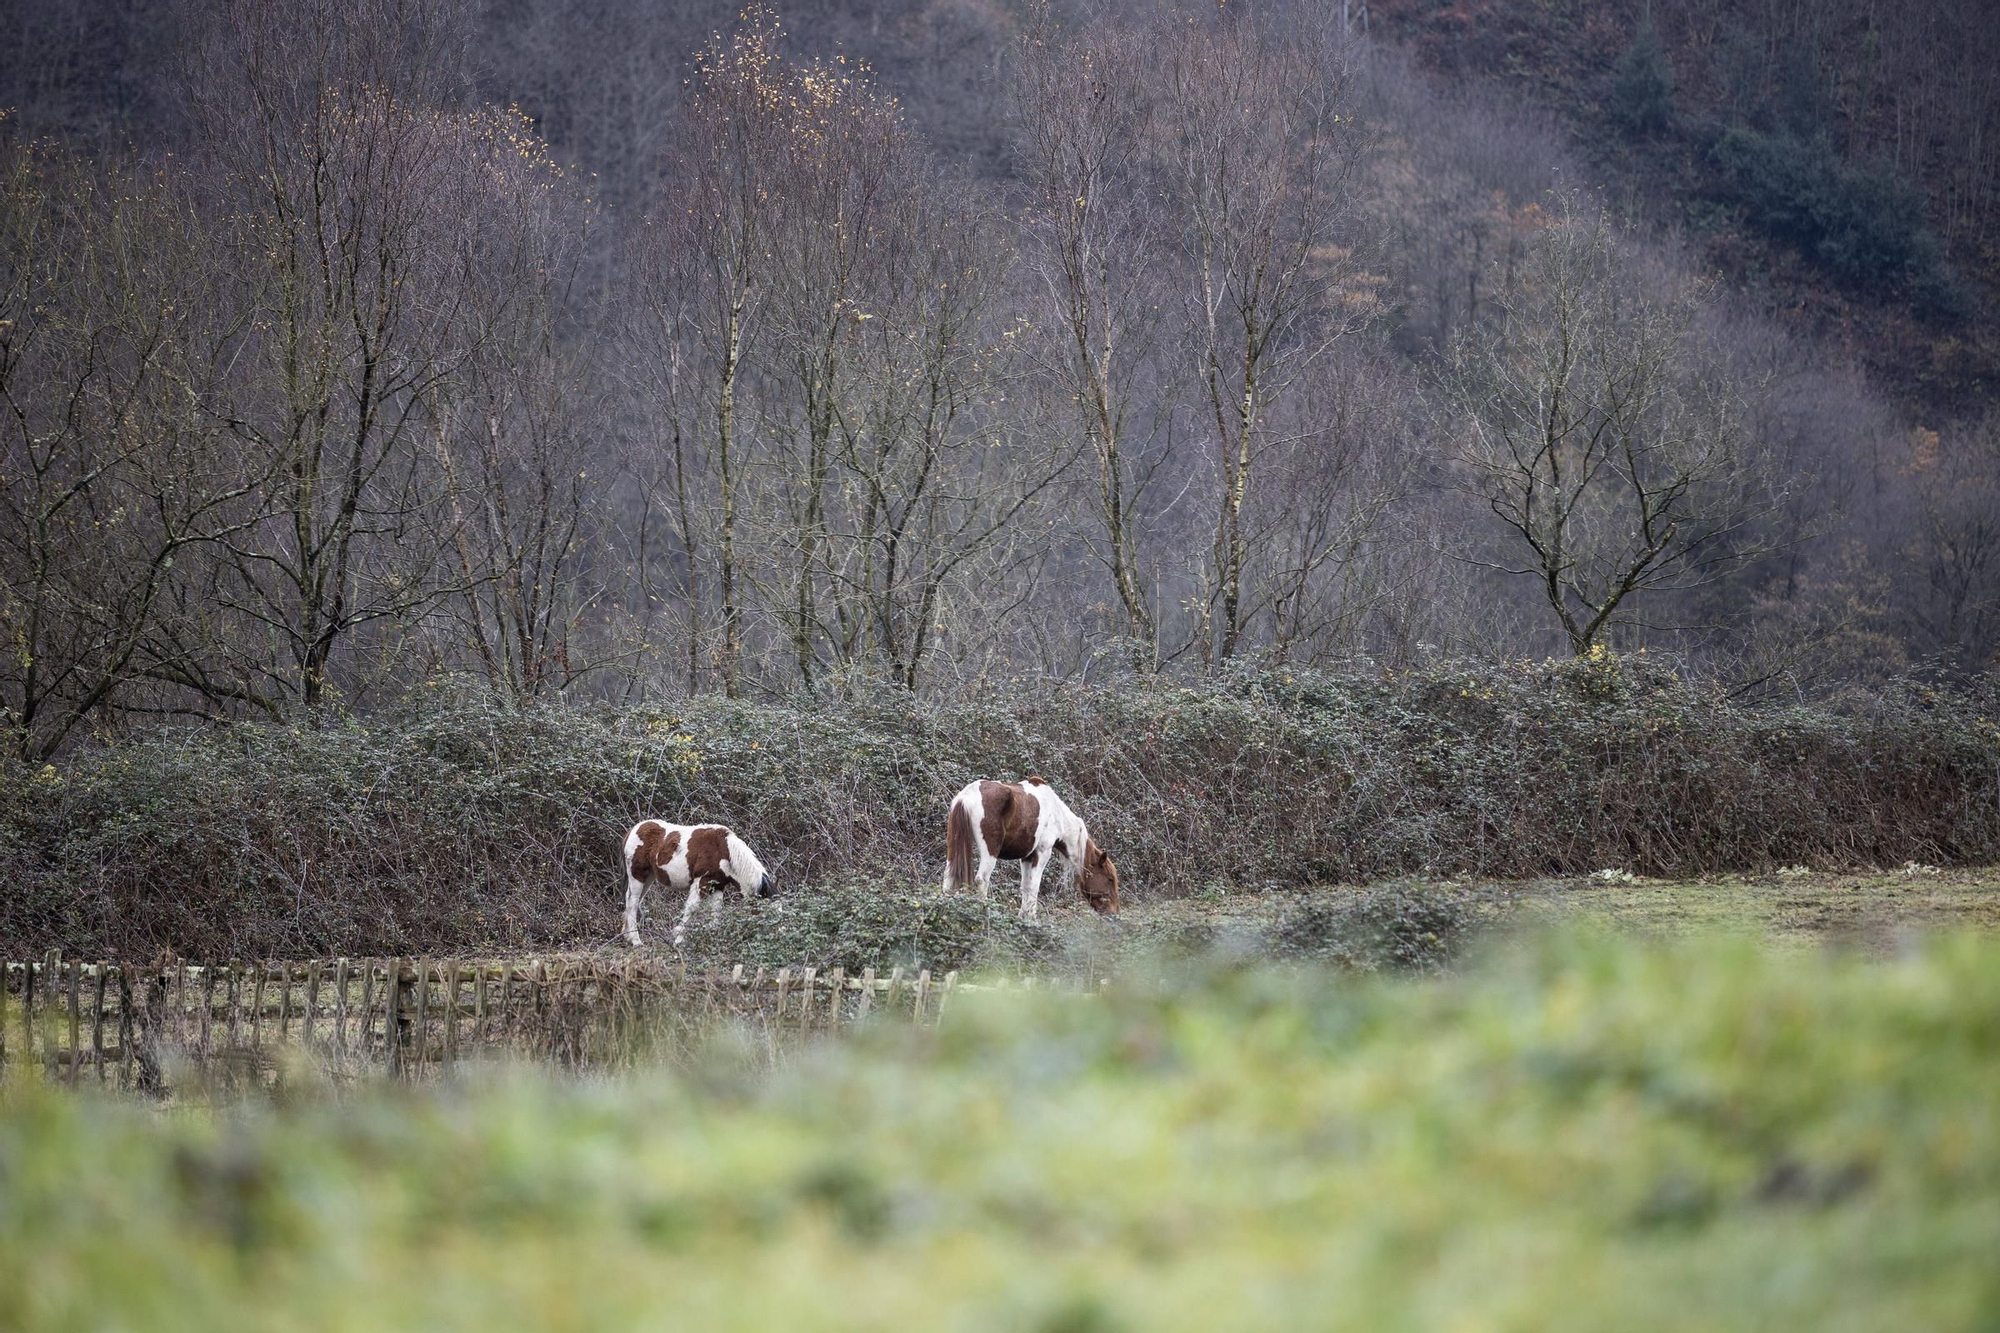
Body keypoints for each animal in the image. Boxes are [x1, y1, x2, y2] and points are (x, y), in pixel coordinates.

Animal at [620, 808, 776, 944]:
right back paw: (636, 941)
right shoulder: (701, 881)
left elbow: (716, 913)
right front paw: (678, 939)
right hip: (637, 874)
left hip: (649, 877)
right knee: (632, 902)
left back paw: (627, 935)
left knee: (633, 901)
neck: (725, 851)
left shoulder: (718, 885)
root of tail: (632, 831)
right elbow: (692, 908)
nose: (774, 938)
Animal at [940, 772, 1120, 920]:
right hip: (990, 851)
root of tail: (966, 796)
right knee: (982, 879)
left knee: (949, 876)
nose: (1114, 913)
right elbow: (1034, 886)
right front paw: (1032, 918)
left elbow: (1025, 886)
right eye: (1110, 879)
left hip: (954, 846)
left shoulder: (1026, 857)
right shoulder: (1042, 853)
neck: (1057, 815)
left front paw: (1023, 917)